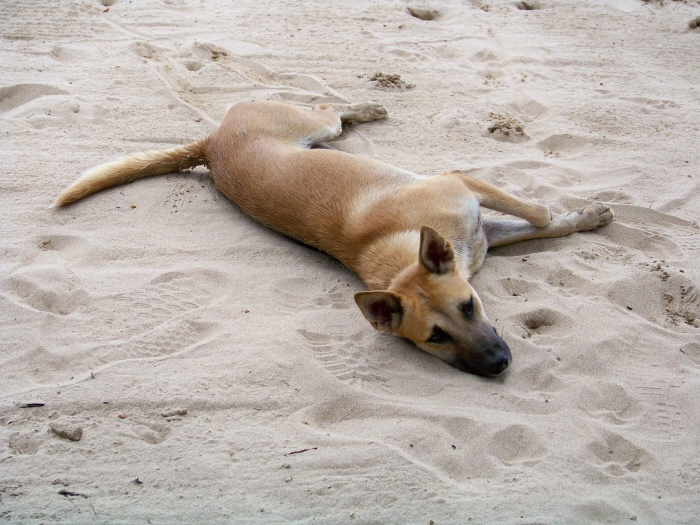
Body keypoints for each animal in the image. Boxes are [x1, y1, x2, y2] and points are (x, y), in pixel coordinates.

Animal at [56, 100, 612, 374]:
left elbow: (544, 217)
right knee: (333, 112)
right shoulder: (470, 209)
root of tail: (210, 144)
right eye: (435, 338)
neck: (398, 254)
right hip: (314, 127)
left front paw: (589, 215)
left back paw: (367, 108)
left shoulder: (469, 202)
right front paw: (587, 214)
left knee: (333, 110)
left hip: (314, 128)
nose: (499, 365)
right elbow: (541, 215)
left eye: (469, 306)